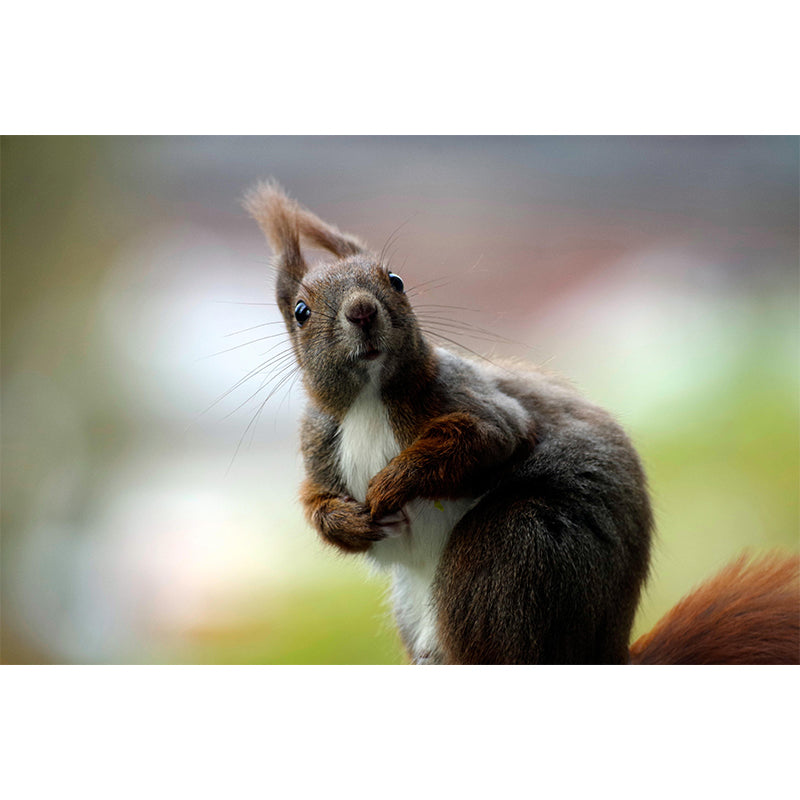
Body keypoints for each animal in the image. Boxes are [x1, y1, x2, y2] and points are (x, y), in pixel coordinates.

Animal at [244, 180, 800, 665]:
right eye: (301, 311)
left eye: (395, 281)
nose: (362, 310)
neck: (369, 399)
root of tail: (602, 654)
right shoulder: (319, 444)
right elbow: (318, 501)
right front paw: (348, 522)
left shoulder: (478, 402)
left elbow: (484, 440)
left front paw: (392, 483)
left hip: (511, 550)